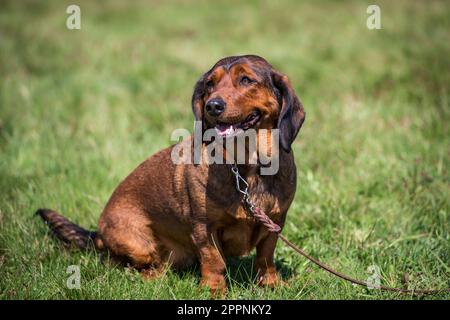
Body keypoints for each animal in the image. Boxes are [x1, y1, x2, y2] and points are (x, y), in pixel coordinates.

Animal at [37, 54, 306, 292]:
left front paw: (271, 284)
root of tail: (98, 234)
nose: (212, 106)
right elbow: (213, 261)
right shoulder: (204, 229)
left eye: (246, 80)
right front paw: (213, 290)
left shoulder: (275, 223)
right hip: (139, 244)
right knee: (126, 265)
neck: (246, 168)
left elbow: (265, 257)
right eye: (210, 84)